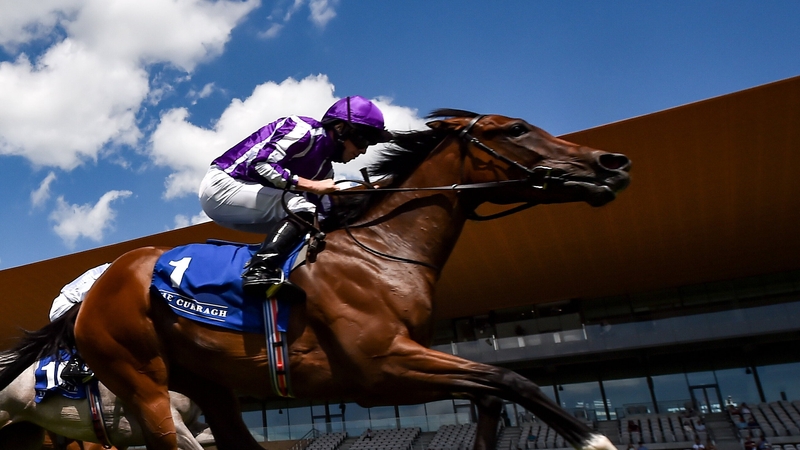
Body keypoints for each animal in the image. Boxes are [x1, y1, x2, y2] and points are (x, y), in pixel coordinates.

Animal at [9, 109, 632, 450]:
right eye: (517, 128)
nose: (613, 163)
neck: (384, 252)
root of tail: (96, 290)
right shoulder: (381, 369)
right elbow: (513, 379)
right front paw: (595, 436)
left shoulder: (407, 365)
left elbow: (491, 394)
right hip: (141, 385)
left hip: (208, 384)